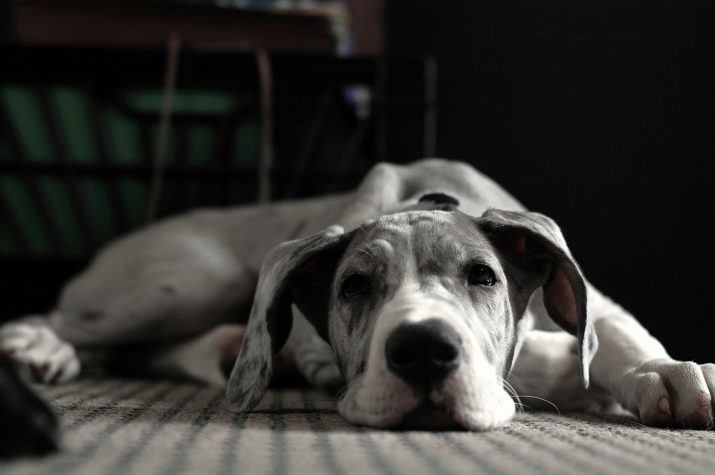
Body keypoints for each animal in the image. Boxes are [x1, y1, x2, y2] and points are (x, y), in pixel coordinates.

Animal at [1, 159, 713, 432]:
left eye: (484, 277)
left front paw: (665, 372)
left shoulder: (597, 304)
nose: (423, 349)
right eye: (354, 286)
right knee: (62, 317)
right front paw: (559, 372)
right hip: (193, 278)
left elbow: (615, 331)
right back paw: (39, 348)